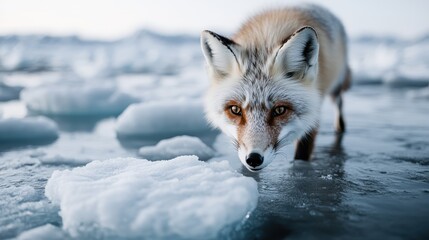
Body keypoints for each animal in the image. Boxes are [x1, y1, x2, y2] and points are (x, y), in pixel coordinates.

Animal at [199, 4, 350, 172]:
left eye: (280, 110)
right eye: (235, 109)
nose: (253, 159)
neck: (263, 39)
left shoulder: (314, 110)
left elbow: (303, 151)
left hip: (336, 84)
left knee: (339, 102)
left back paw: (340, 126)